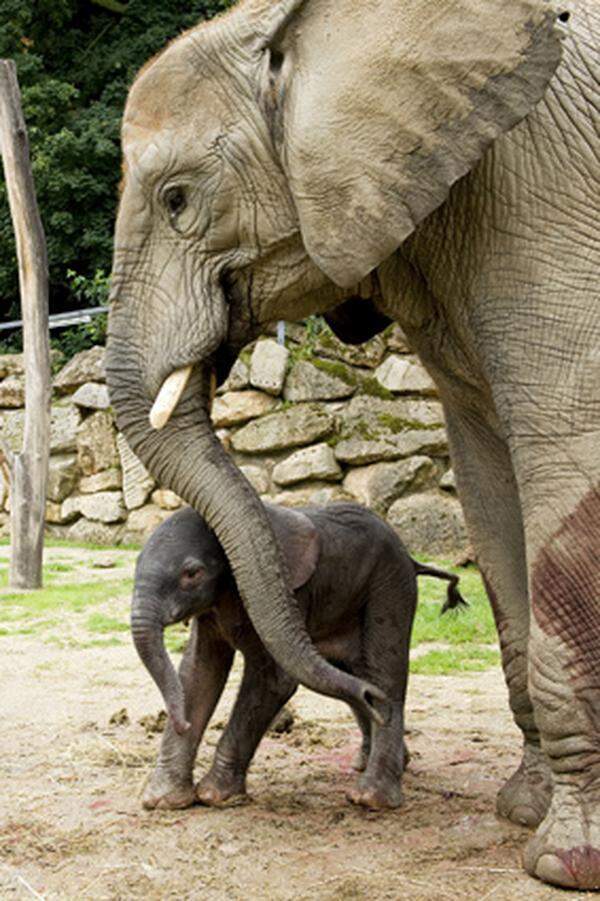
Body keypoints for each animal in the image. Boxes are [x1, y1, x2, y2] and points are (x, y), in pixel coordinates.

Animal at [134, 506, 466, 808]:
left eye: (192, 574)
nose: (182, 724)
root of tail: (412, 558)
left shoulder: (294, 593)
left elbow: (274, 681)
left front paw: (215, 795)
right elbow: (198, 673)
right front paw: (163, 800)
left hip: (390, 584)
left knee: (384, 672)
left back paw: (371, 798)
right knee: (353, 675)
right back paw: (379, 760)